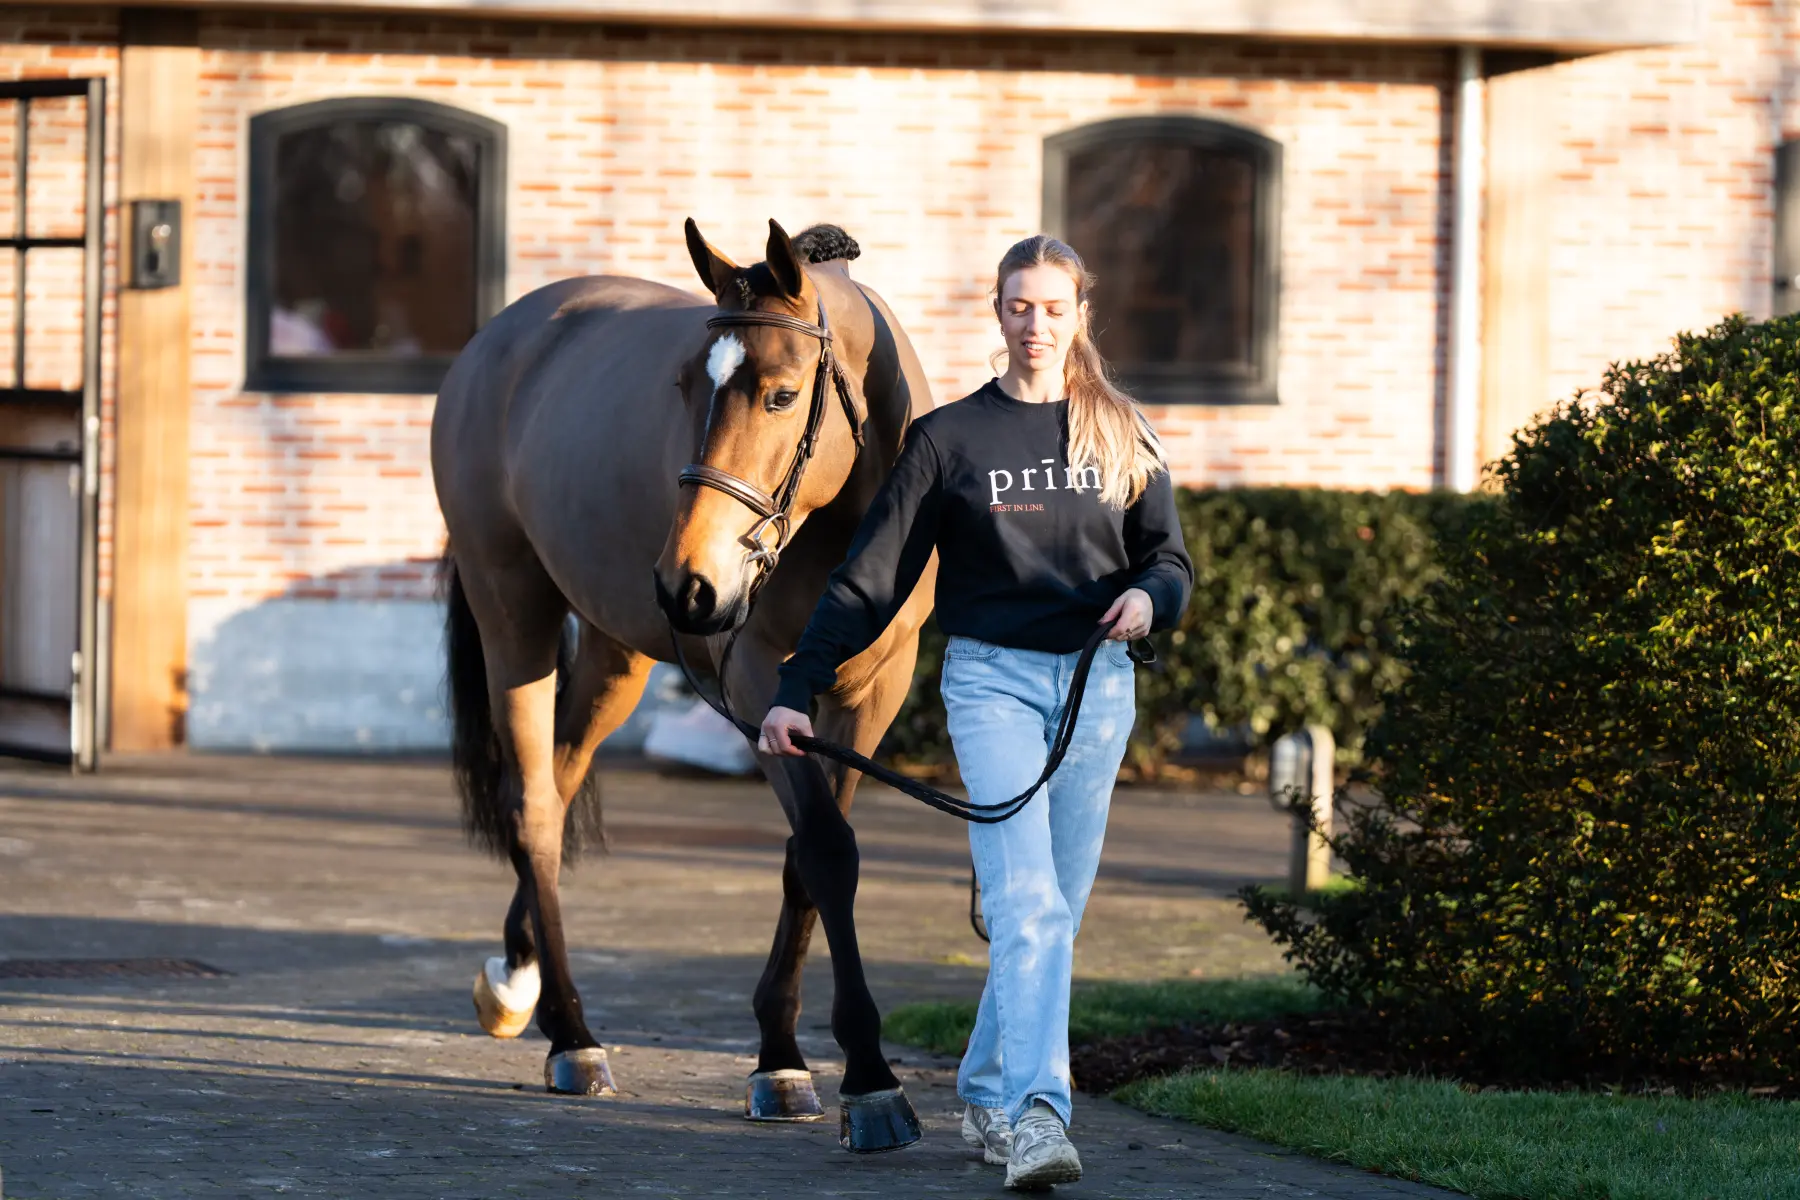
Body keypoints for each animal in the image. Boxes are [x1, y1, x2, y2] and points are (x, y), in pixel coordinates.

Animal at [430, 218, 939, 1151]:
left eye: (780, 395)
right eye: (681, 387)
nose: (689, 585)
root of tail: (500, 337)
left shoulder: (871, 696)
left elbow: (808, 858)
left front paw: (781, 1052)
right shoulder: (754, 681)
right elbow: (826, 850)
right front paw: (866, 1078)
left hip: (614, 655)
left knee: (559, 785)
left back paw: (520, 976)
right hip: (512, 613)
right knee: (533, 808)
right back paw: (573, 1036)